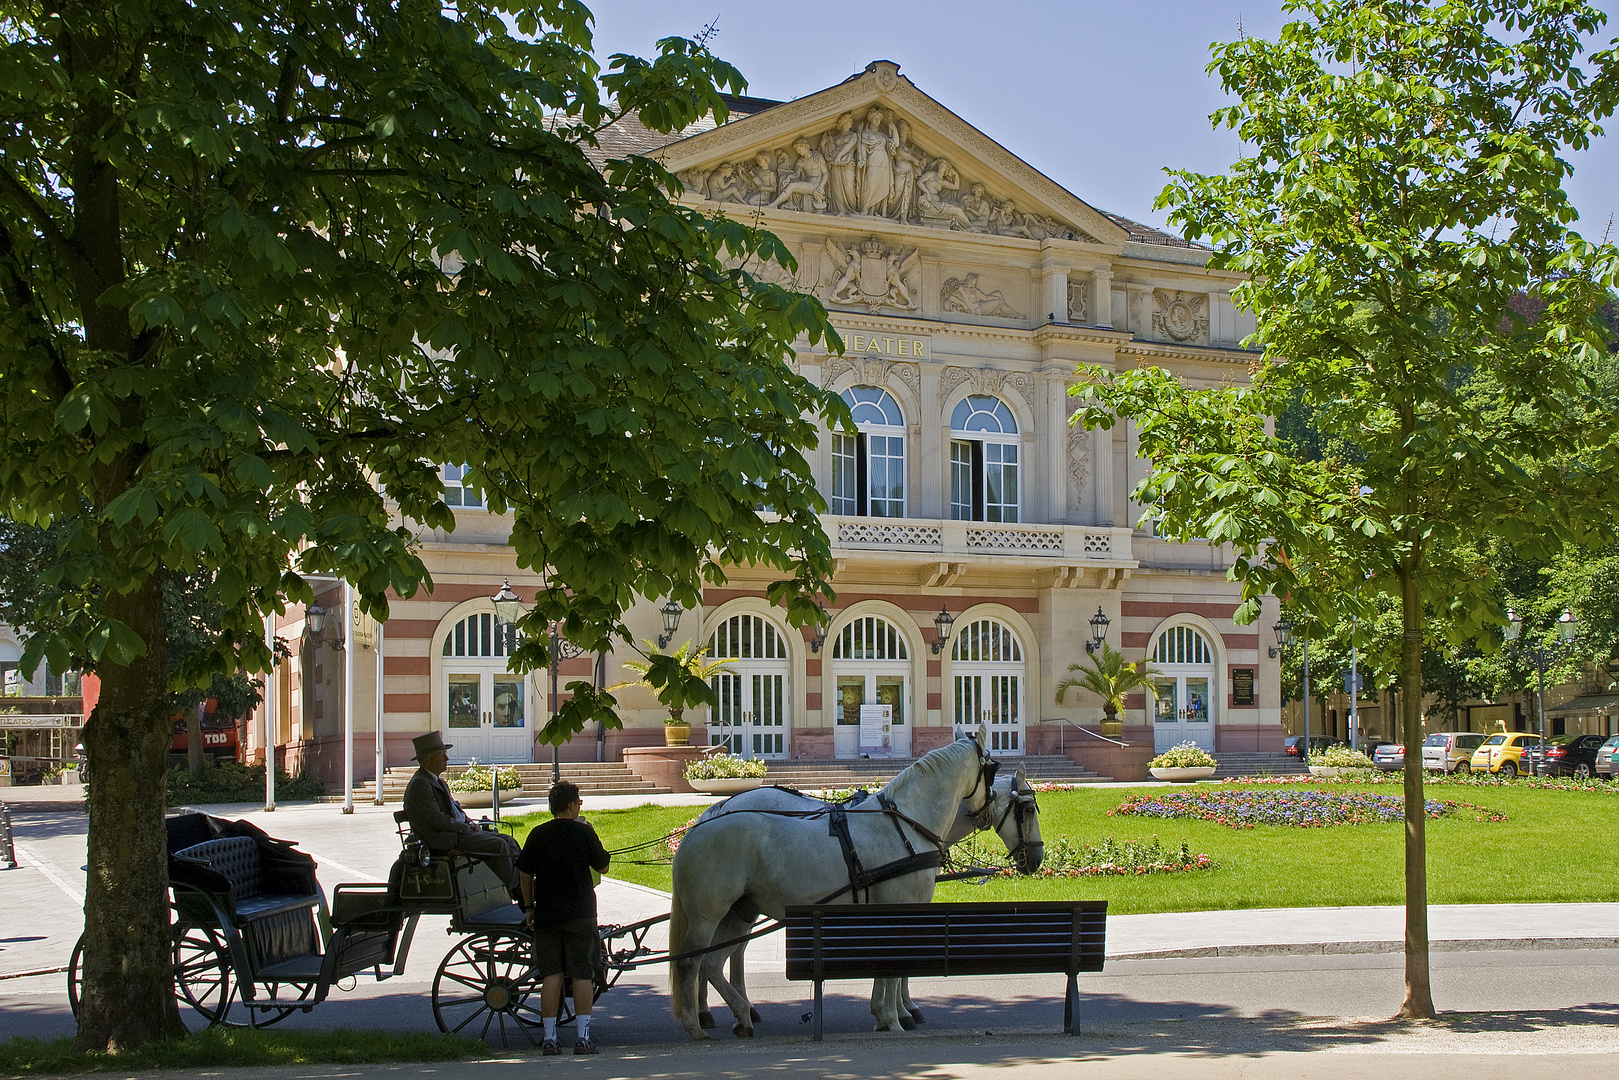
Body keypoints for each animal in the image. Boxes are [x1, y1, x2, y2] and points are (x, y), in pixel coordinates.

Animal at [667, 735, 1036, 1036]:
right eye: (1029, 808)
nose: (1035, 858)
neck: (907, 822)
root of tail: (699, 825)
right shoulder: (900, 908)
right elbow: (895, 963)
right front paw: (895, 1016)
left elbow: (886, 961)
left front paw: (888, 1012)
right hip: (708, 915)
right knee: (691, 962)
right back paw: (697, 1023)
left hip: (738, 911)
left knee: (715, 961)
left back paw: (738, 1014)